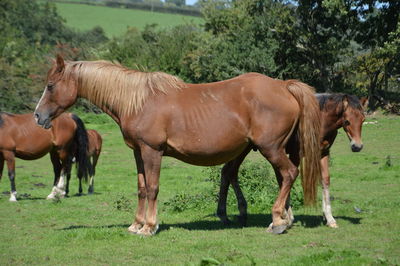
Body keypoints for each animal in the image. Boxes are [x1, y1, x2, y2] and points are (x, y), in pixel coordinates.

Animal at [33, 54, 322, 235]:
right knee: (283, 177)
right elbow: (141, 188)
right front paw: (136, 224)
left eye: (51, 86)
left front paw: (150, 227)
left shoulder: (152, 151)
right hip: (271, 148)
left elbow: (153, 188)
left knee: (289, 174)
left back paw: (277, 221)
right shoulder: (138, 152)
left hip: (270, 148)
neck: (138, 101)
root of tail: (284, 86)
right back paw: (284, 219)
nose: (38, 116)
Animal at [217, 92, 368, 228]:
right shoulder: (295, 153)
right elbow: (286, 179)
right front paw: (286, 218)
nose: (357, 146)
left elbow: (325, 180)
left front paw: (329, 218)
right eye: (347, 121)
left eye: (362, 119)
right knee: (230, 172)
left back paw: (232, 215)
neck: (319, 120)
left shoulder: (323, 153)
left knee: (228, 172)